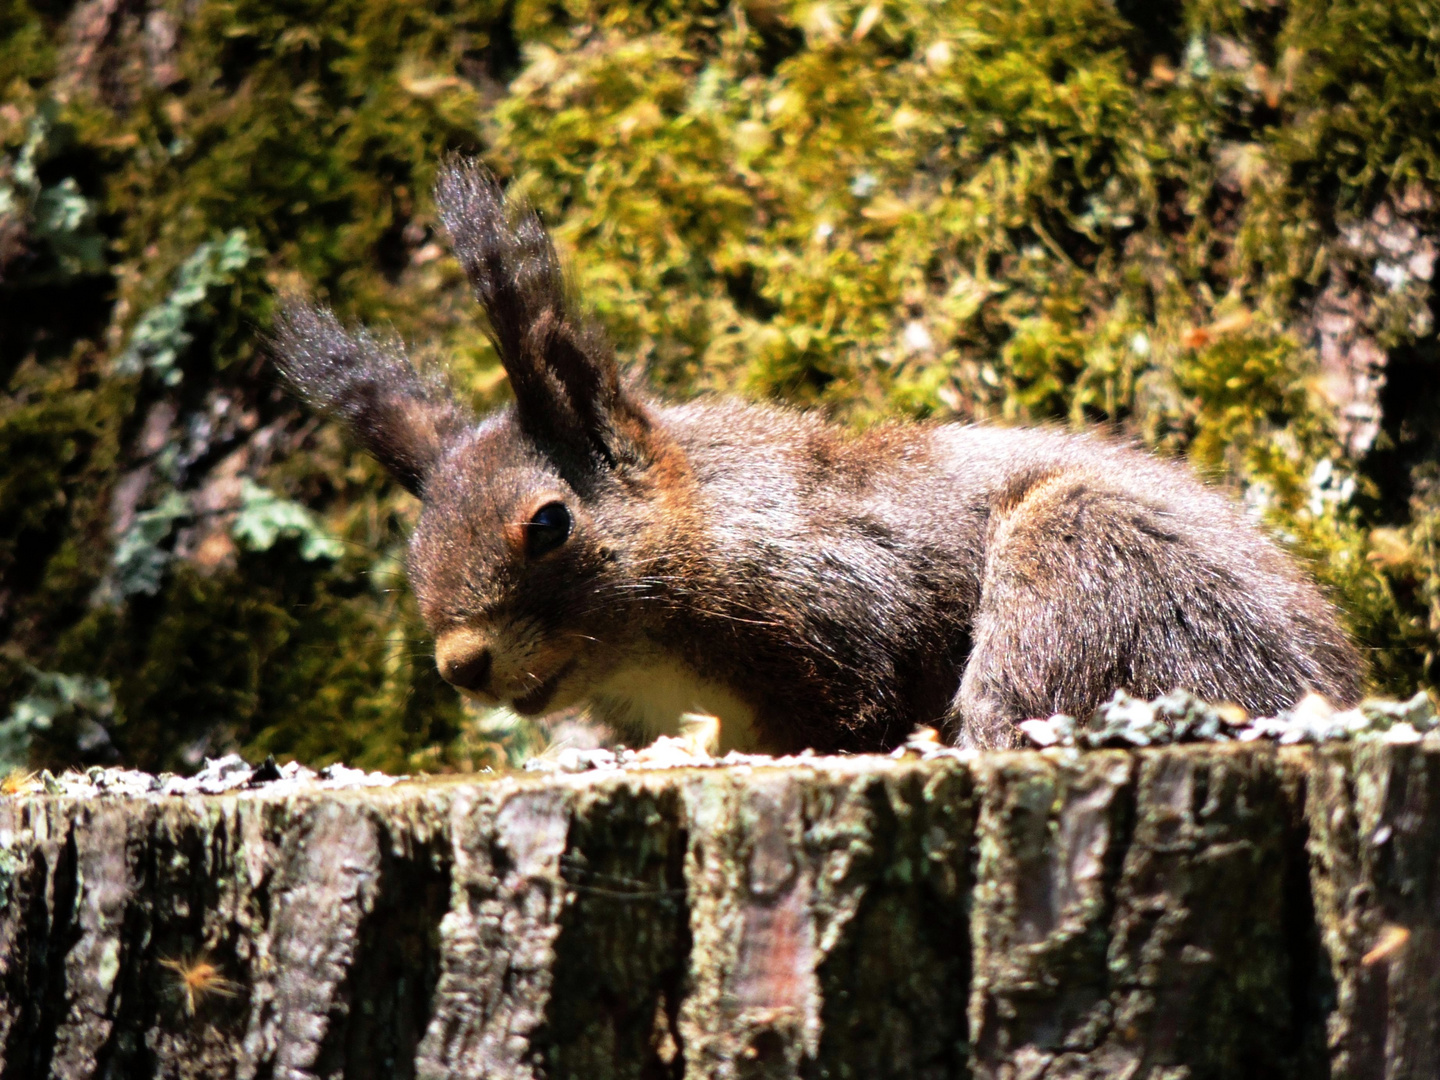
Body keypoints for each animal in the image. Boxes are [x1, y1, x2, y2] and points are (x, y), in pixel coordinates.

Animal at [275, 160, 1365, 754]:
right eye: (412, 550)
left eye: (548, 525)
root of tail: (1327, 693)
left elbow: (855, 704)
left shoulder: (838, 614)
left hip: (1091, 567)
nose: (460, 665)